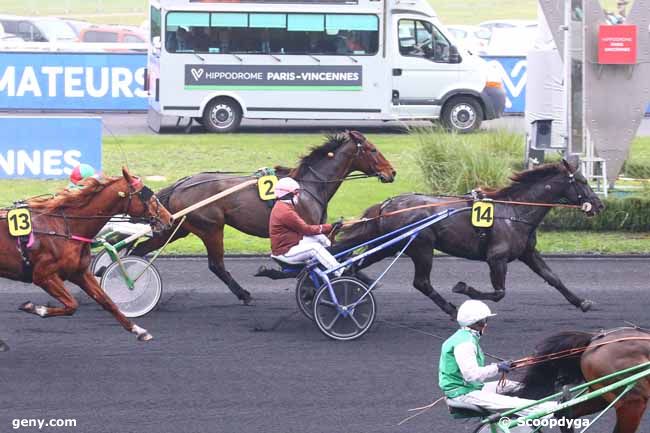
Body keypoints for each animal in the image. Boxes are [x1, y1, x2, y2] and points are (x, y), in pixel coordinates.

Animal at [0, 165, 172, 344]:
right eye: (148, 196)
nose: (169, 218)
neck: (65, 227)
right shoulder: (43, 275)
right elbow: (72, 305)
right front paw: (36, 308)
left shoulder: (79, 273)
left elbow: (108, 302)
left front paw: (138, 330)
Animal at [130, 130, 394, 302]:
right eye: (373, 150)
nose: (392, 172)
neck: (308, 186)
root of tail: (181, 184)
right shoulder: (304, 229)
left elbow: (335, 251)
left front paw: (361, 276)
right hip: (211, 228)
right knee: (216, 265)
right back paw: (244, 294)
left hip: (178, 228)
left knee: (139, 250)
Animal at [336, 160, 600, 316]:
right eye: (583, 181)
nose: (600, 204)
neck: (515, 211)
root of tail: (387, 204)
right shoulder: (497, 258)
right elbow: (499, 293)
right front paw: (464, 288)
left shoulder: (527, 253)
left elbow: (553, 278)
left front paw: (581, 302)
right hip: (421, 247)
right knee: (421, 282)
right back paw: (452, 310)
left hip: (389, 245)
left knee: (353, 265)